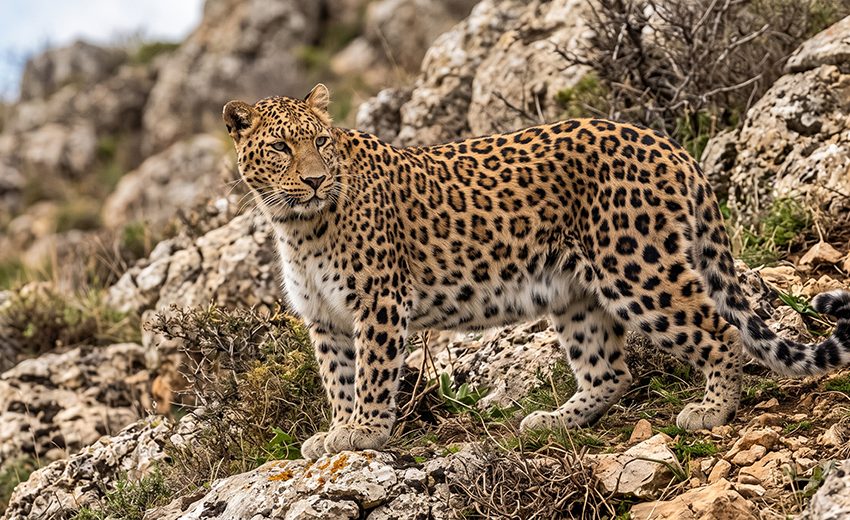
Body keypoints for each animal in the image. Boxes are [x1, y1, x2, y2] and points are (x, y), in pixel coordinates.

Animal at [223, 84, 850, 460]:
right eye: (280, 148)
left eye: (320, 141)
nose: (315, 180)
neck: (297, 224)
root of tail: (666, 142)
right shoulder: (326, 319)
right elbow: (338, 377)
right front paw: (336, 431)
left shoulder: (378, 302)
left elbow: (373, 375)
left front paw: (365, 433)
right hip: (576, 293)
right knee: (610, 371)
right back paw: (554, 421)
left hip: (635, 267)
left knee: (719, 331)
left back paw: (711, 410)